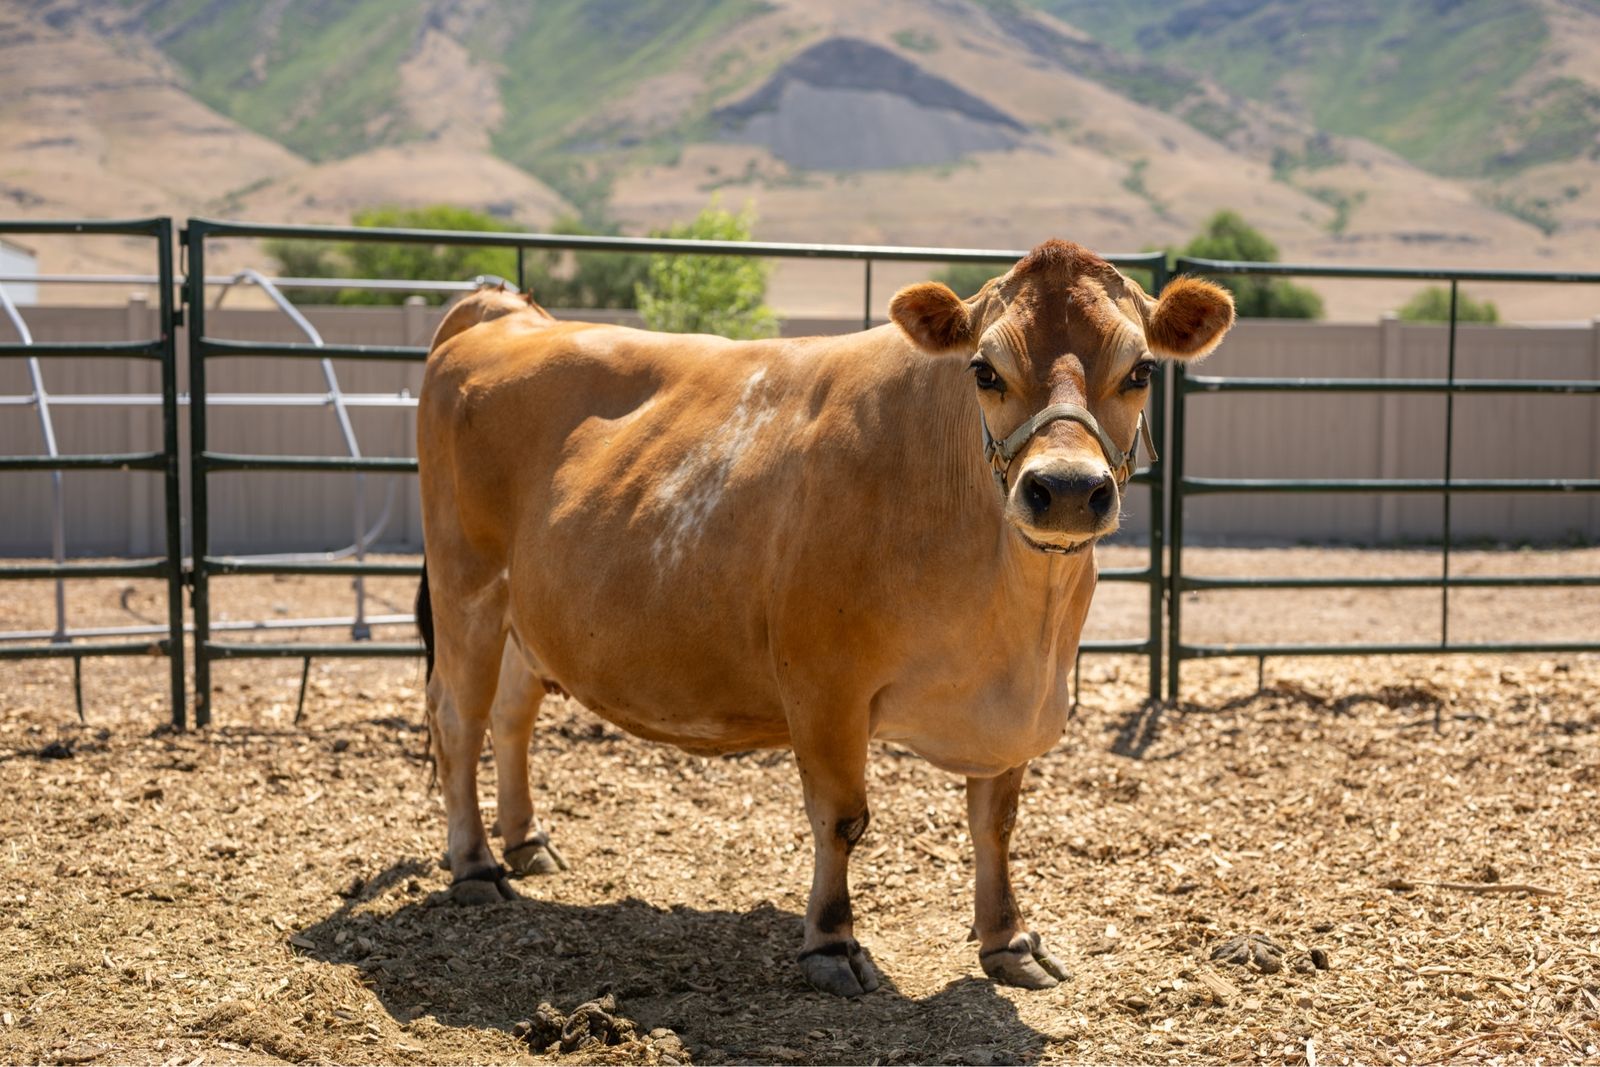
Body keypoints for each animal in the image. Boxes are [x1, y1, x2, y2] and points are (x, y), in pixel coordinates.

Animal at [415, 239, 1234, 997]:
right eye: (984, 370)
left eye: (1141, 371)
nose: (1064, 489)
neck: (1018, 631)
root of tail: (503, 312)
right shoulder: (823, 685)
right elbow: (842, 818)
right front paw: (832, 942)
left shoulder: (1017, 708)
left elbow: (996, 823)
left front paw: (1009, 940)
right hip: (467, 590)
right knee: (459, 718)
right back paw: (476, 865)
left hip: (526, 616)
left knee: (512, 715)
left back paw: (528, 841)